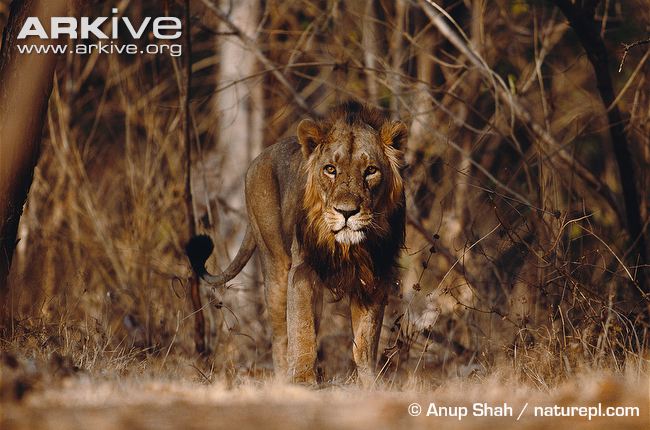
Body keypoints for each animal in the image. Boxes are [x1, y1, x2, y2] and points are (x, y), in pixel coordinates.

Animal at [186, 101, 407, 385]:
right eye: (330, 169)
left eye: (370, 171)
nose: (347, 212)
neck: (347, 247)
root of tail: (259, 157)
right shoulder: (302, 270)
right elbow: (301, 330)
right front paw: (302, 381)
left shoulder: (374, 277)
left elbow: (365, 342)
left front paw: (370, 385)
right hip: (275, 266)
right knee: (280, 335)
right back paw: (284, 378)